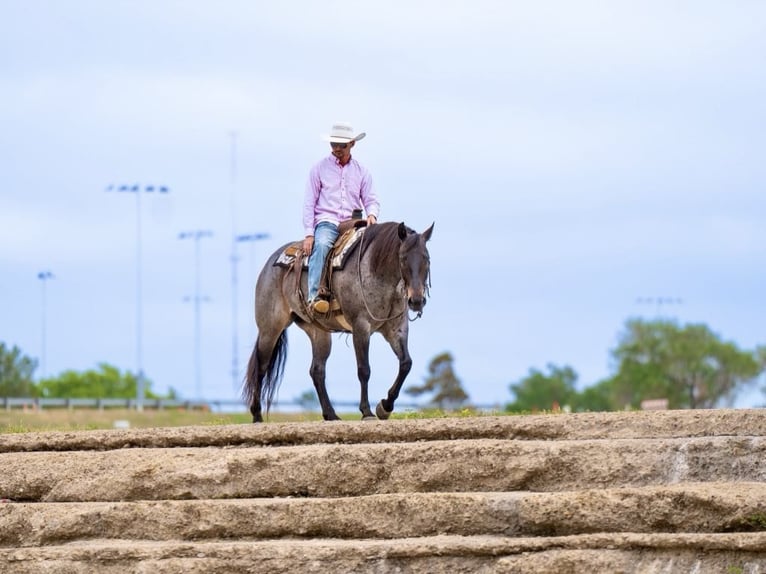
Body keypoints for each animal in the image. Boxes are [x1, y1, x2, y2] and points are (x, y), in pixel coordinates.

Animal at [243, 220, 436, 424]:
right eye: (403, 258)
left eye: (426, 259)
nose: (416, 301)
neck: (375, 270)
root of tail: (270, 264)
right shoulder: (361, 327)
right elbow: (364, 369)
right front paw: (367, 412)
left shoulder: (396, 329)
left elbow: (406, 363)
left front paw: (385, 406)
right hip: (270, 329)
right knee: (261, 367)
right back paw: (257, 415)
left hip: (318, 332)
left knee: (317, 371)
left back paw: (331, 414)